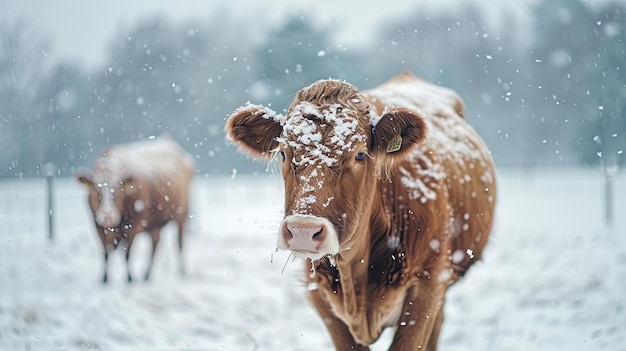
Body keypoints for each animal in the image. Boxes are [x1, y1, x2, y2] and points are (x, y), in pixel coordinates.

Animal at [74, 136, 194, 284]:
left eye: (118, 192)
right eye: (96, 192)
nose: (108, 216)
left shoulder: (133, 226)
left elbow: (127, 254)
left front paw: (130, 279)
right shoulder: (97, 226)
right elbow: (106, 253)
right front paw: (104, 279)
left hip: (182, 213)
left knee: (179, 243)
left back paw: (181, 273)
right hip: (155, 221)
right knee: (156, 244)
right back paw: (147, 275)